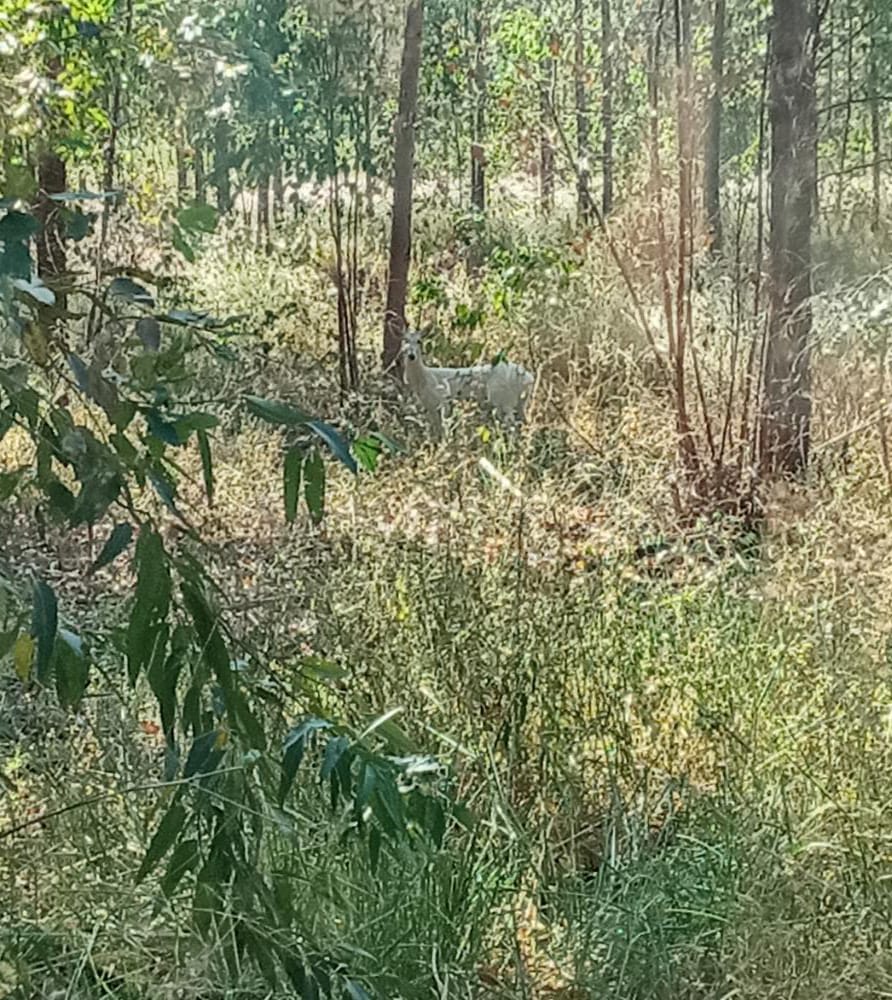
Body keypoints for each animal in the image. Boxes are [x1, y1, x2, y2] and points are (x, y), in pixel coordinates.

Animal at [404, 330, 536, 436]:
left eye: (419, 341)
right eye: (405, 340)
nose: (411, 355)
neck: (423, 378)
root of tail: (528, 378)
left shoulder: (442, 401)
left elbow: (444, 427)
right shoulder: (430, 406)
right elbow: (437, 430)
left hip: (504, 399)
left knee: (512, 425)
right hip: (519, 402)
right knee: (523, 422)